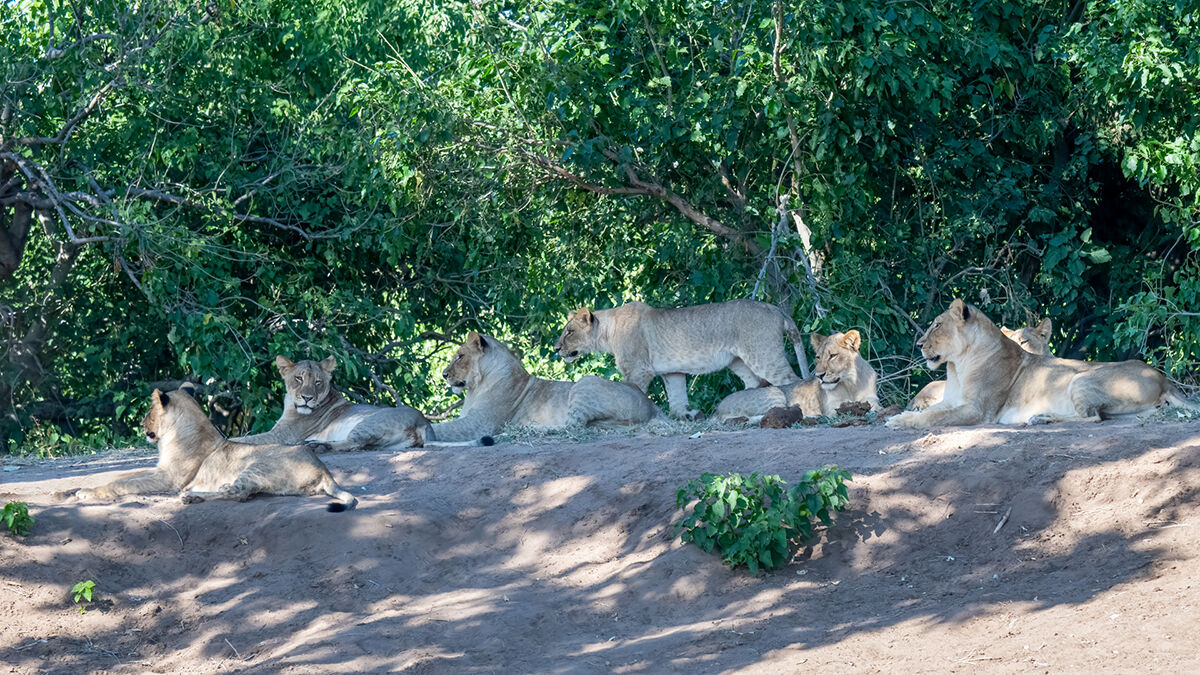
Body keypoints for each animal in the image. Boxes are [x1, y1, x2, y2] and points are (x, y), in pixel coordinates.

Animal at [76, 388, 357, 510]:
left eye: (149, 411)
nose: (141, 424)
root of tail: (324, 469)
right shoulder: (159, 470)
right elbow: (123, 475)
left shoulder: (169, 479)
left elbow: (123, 483)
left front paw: (87, 493)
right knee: (237, 492)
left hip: (256, 466)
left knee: (238, 494)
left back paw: (192, 497)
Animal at [235, 356, 492, 450]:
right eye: (298, 379)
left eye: (317, 382)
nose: (307, 397)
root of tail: (424, 422)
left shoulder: (282, 436)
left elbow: (246, 439)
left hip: (365, 423)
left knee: (353, 444)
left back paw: (317, 445)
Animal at [430, 332, 662, 440]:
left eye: (460, 356)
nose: (443, 374)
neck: (475, 388)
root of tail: (652, 406)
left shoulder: (480, 424)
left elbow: (443, 428)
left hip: (584, 382)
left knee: (572, 426)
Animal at [553, 300, 810, 420]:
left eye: (569, 332)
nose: (556, 349)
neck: (607, 331)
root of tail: (776, 309)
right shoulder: (672, 373)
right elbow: (677, 401)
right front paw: (689, 415)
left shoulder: (638, 370)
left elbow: (635, 393)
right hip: (737, 360)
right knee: (755, 383)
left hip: (764, 355)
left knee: (793, 380)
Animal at [716, 330, 879, 423]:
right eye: (818, 357)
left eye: (833, 356)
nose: (819, 376)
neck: (851, 383)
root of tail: (717, 408)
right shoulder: (831, 407)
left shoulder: (871, 399)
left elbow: (875, 408)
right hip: (775, 393)